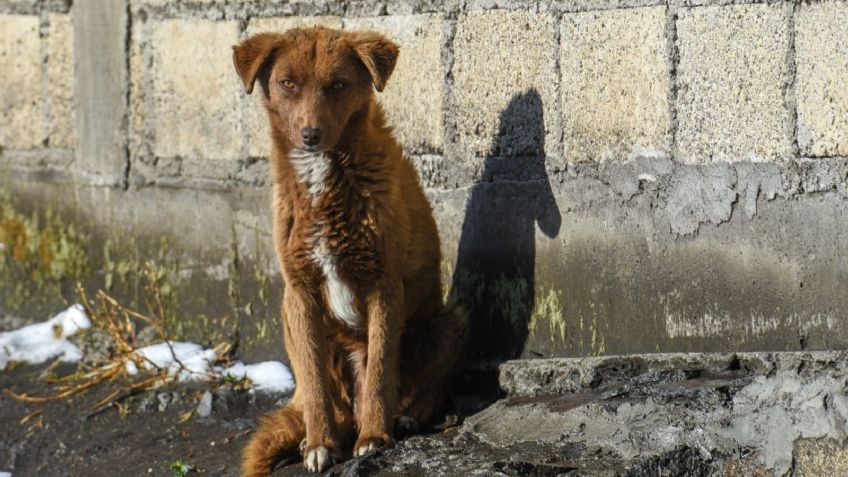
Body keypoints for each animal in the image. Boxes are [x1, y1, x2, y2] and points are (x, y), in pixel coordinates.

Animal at [232, 27, 468, 476]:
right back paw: (320, 433)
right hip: (291, 318)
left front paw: (375, 438)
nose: (310, 135)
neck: (323, 178)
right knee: (325, 399)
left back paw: (404, 417)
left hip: (447, 322)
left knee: (421, 387)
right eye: (287, 83)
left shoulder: (384, 285)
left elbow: (379, 372)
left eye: (338, 85)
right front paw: (320, 445)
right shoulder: (301, 291)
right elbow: (314, 383)